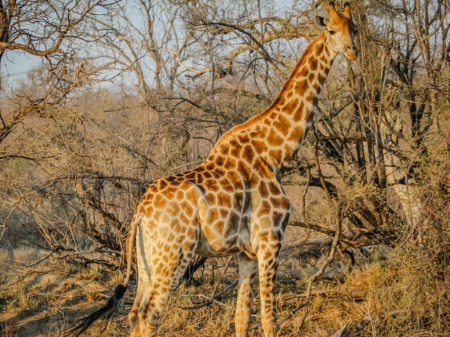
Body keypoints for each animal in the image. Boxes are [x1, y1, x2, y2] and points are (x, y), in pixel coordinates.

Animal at [69, 3, 358, 336]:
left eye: (354, 28)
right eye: (332, 31)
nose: (353, 51)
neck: (276, 153)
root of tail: (140, 211)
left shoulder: (246, 253)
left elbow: (242, 317)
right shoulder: (271, 240)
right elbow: (269, 318)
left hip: (146, 261)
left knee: (134, 313)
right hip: (174, 256)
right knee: (149, 315)